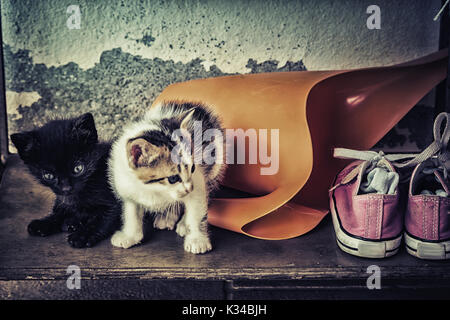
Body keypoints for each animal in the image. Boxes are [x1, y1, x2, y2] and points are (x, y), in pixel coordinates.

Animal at [11, 114, 121, 249]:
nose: (66, 188)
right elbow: (59, 210)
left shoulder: (114, 200)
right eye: (48, 175)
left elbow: (104, 219)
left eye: (78, 168)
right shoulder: (62, 198)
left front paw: (83, 235)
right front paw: (44, 222)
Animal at [107, 101, 227, 254]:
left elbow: (196, 211)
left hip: (215, 167)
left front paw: (197, 240)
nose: (189, 188)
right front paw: (130, 236)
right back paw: (166, 217)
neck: (153, 189)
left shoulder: (199, 181)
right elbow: (131, 214)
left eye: (192, 168)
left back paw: (182, 224)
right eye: (173, 179)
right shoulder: (126, 187)